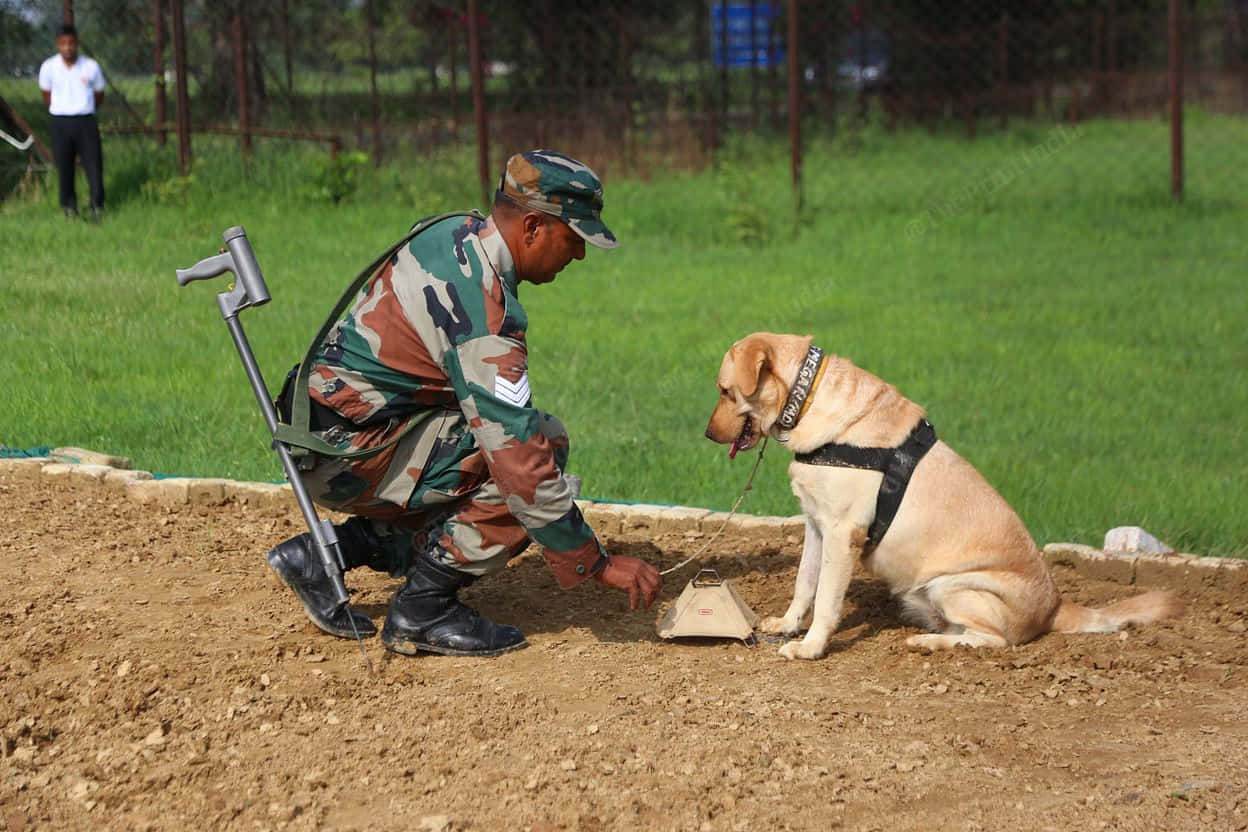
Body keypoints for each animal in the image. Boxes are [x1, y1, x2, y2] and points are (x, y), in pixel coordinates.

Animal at [703, 334, 1178, 663]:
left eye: (725, 391)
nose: (707, 434)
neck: (808, 404)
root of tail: (1056, 607)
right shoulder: (816, 526)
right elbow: (804, 584)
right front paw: (787, 626)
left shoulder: (843, 533)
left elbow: (825, 601)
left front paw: (810, 647)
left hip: (955, 585)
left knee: (995, 641)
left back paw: (931, 643)